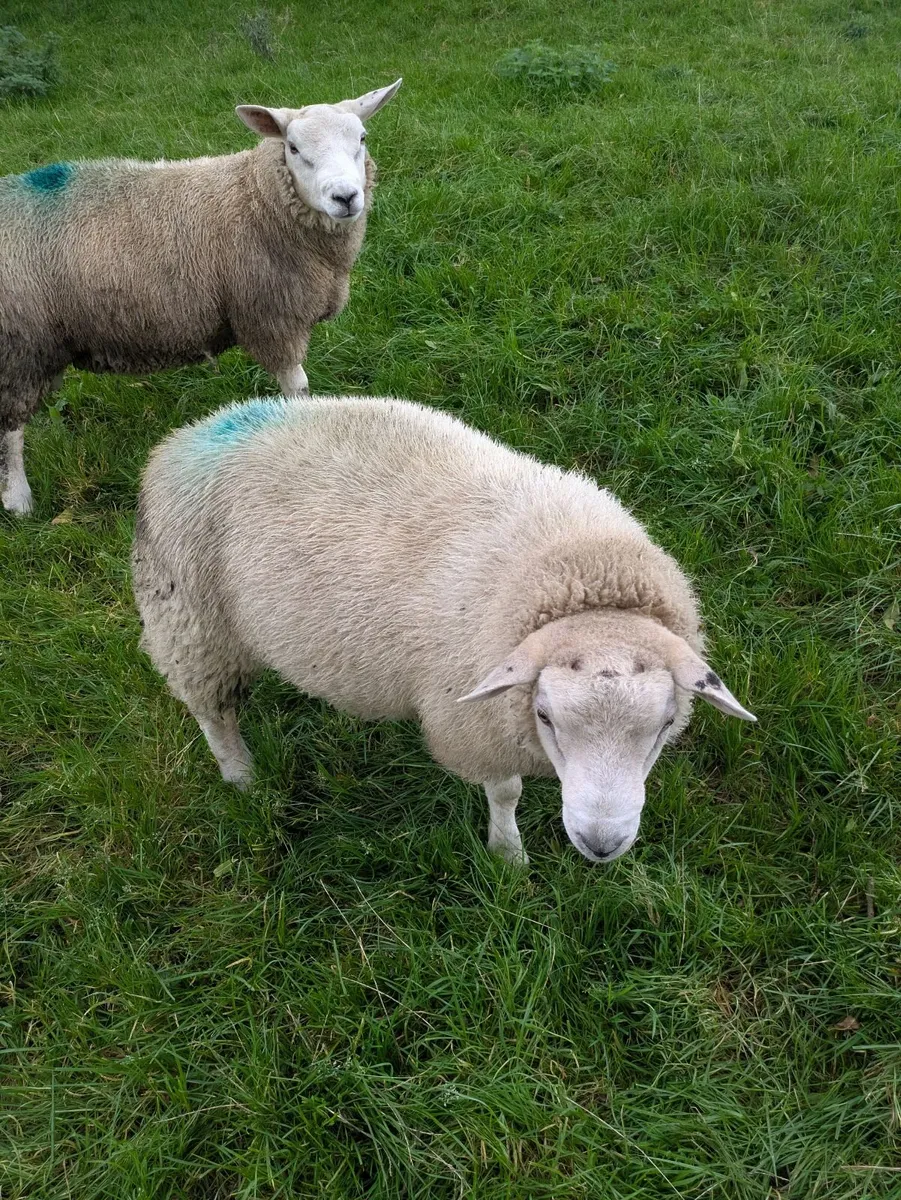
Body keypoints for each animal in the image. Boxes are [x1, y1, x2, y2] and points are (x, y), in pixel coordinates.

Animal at [0, 79, 402, 515]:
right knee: (10, 429)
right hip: (19, 344)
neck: (255, 196)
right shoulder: (271, 316)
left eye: (361, 138)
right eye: (293, 148)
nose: (345, 197)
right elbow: (298, 387)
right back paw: (18, 500)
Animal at [132, 395, 757, 866]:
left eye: (665, 725)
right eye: (545, 715)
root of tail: (192, 432)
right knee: (213, 712)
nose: (601, 846)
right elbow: (504, 792)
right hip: (191, 621)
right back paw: (242, 778)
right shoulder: (475, 725)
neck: (578, 570)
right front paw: (507, 856)